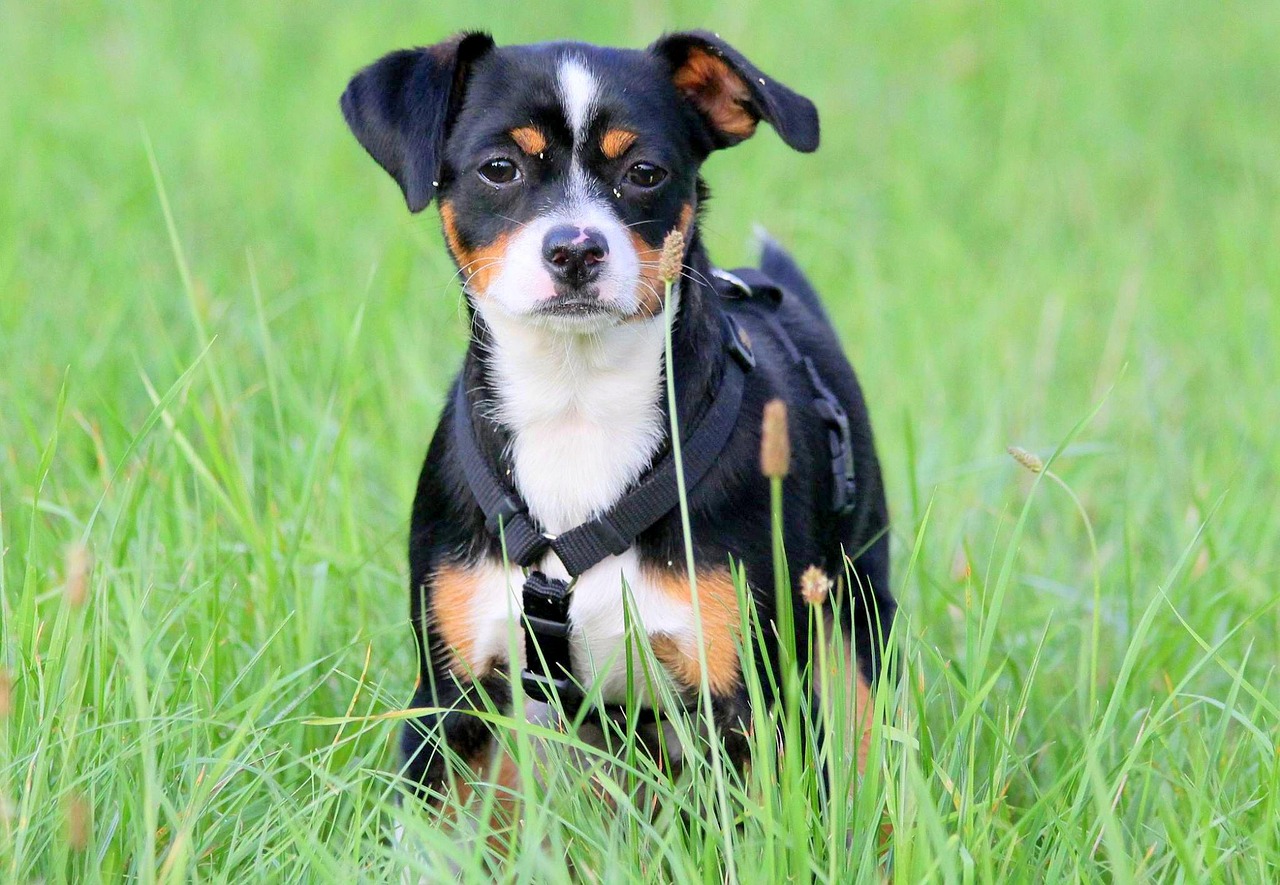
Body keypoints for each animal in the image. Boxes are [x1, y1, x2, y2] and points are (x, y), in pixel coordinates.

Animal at [345, 31, 896, 809]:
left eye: (643, 172)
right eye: (499, 168)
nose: (576, 247)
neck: (576, 405)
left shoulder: (752, 704)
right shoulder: (453, 700)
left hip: (852, 626)